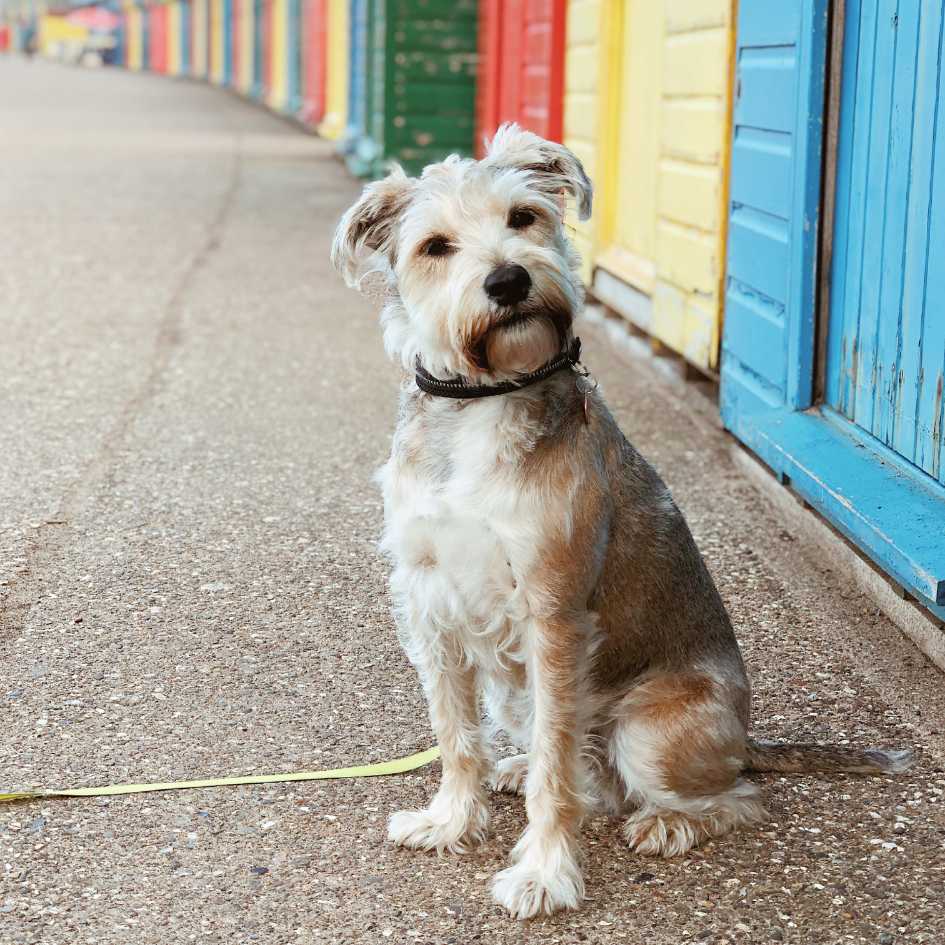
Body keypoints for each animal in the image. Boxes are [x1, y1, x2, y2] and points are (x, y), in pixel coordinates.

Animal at [332, 121, 916, 920]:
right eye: (435, 245)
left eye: (522, 216)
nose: (508, 281)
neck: (483, 400)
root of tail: (745, 738)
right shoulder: (429, 599)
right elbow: (455, 733)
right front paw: (451, 818)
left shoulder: (552, 612)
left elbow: (558, 770)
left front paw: (545, 871)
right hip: (518, 693)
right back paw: (515, 769)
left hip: (645, 729)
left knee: (734, 795)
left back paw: (667, 820)